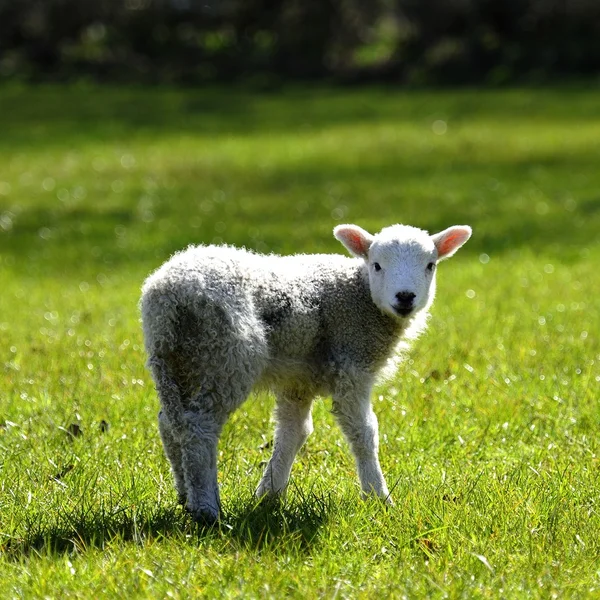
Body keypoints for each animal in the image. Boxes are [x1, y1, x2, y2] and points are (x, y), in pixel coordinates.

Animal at [142, 223, 474, 524]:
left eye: (430, 265)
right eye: (377, 265)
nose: (405, 297)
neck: (359, 297)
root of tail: (169, 295)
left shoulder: (298, 379)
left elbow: (294, 432)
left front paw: (268, 495)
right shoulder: (351, 364)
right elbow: (364, 433)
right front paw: (378, 498)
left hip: (177, 361)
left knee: (170, 424)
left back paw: (185, 494)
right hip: (224, 355)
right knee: (199, 428)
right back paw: (206, 508)